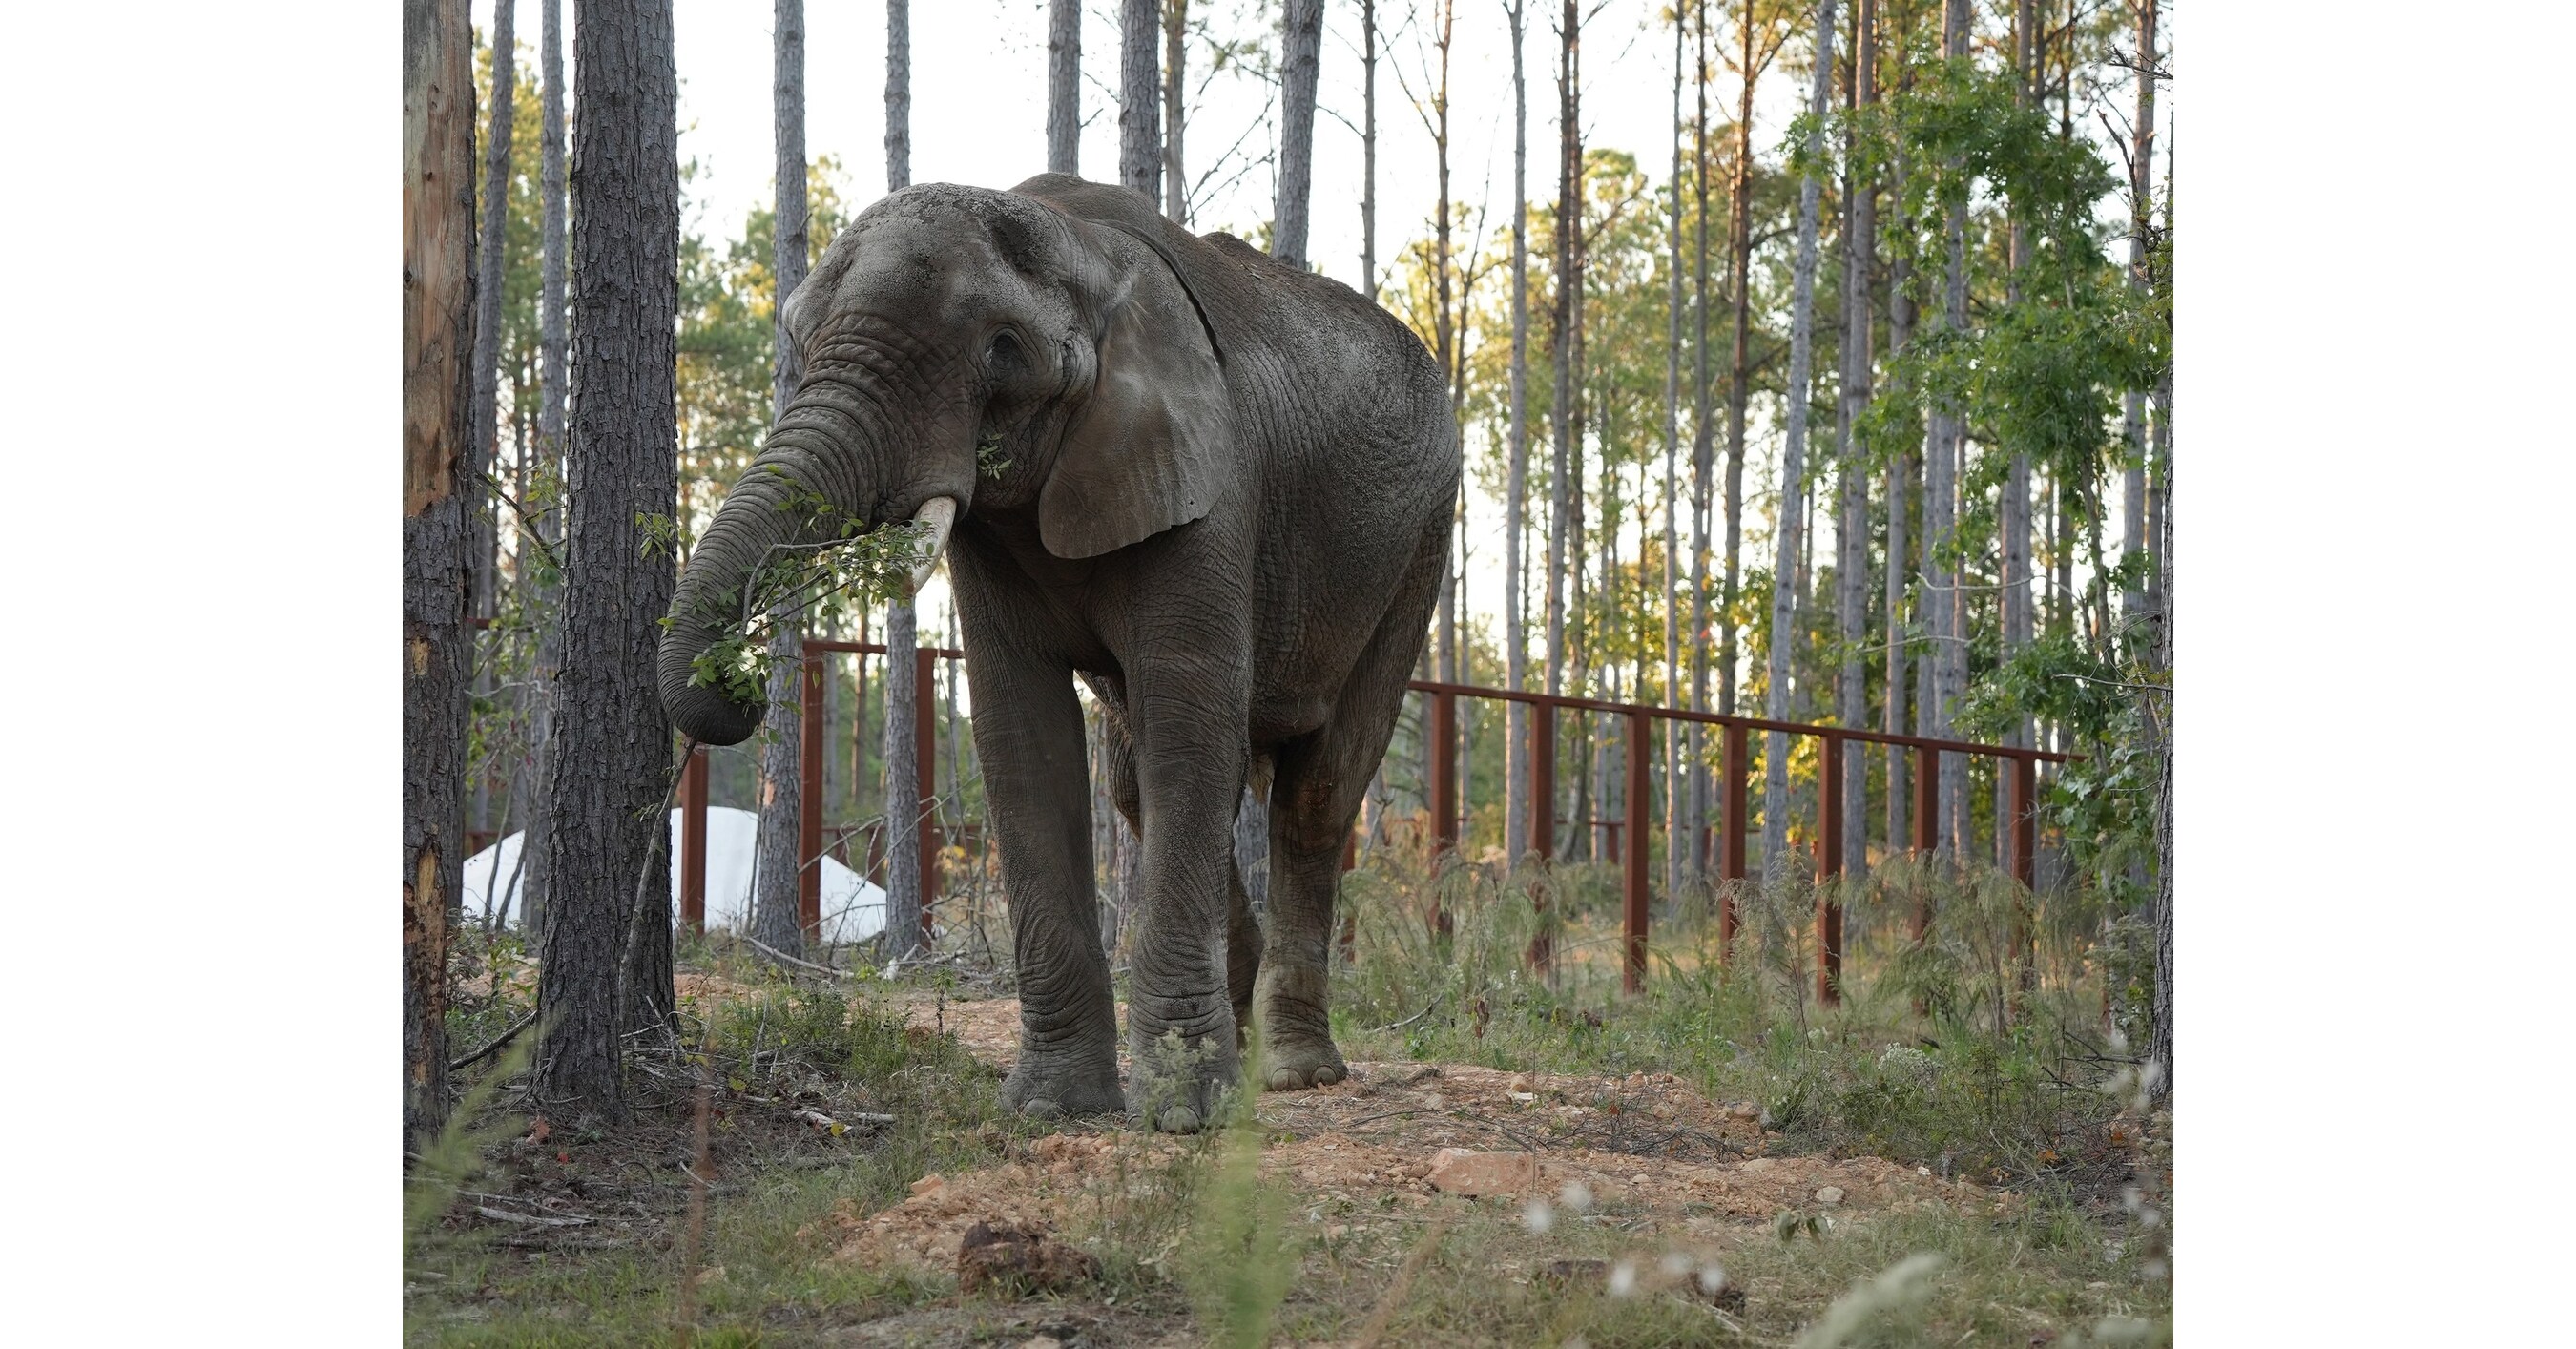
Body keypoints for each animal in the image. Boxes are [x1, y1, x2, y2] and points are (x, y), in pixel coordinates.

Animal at [657, 173, 1457, 1132]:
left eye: (1004, 353)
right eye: (800, 343)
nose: (737, 690)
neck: (1081, 248)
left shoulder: (1210, 475)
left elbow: (1189, 724)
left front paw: (1183, 1117)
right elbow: (1021, 734)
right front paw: (1054, 1107)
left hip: (1420, 544)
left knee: (1315, 794)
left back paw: (1294, 1072)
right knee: (1138, 784)